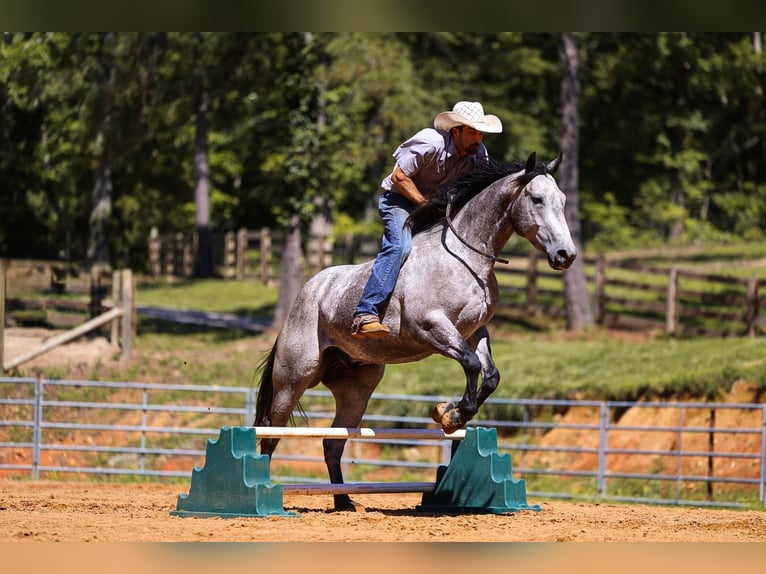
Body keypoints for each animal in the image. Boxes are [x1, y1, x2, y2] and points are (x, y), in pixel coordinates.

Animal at [254, 151, 576, 510]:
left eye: (562, 200)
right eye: (536, 199)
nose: (566, 255)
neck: (466, 259)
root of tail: (307, 292)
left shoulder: (474, 331)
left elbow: (490, 375)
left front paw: (449, 414)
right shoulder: (432, 327)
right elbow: (471, 364)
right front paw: (451, 415)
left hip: (357, 388)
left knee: (333, 442)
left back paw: (344, 502)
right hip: (294, 379)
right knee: (270, 433)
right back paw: (264, 494)